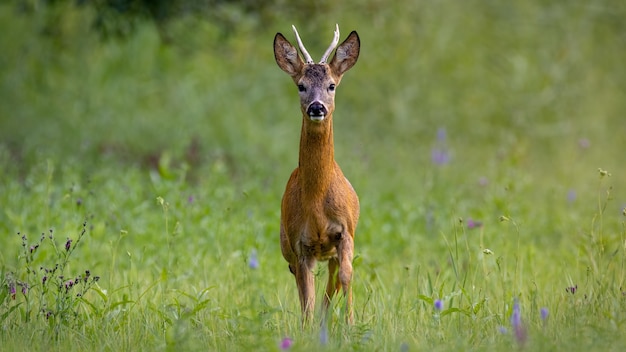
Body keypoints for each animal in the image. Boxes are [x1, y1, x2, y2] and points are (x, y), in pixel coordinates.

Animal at [272, 24, 360, 326]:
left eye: (331, 85)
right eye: (301, 85)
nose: (317, 107)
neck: (317, 200)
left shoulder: (346, 232)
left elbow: (346, 276)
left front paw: (351, 324)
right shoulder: (300, 245)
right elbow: (306, 294)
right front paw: (307, 329)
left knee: (333, 280)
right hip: (287, 246)